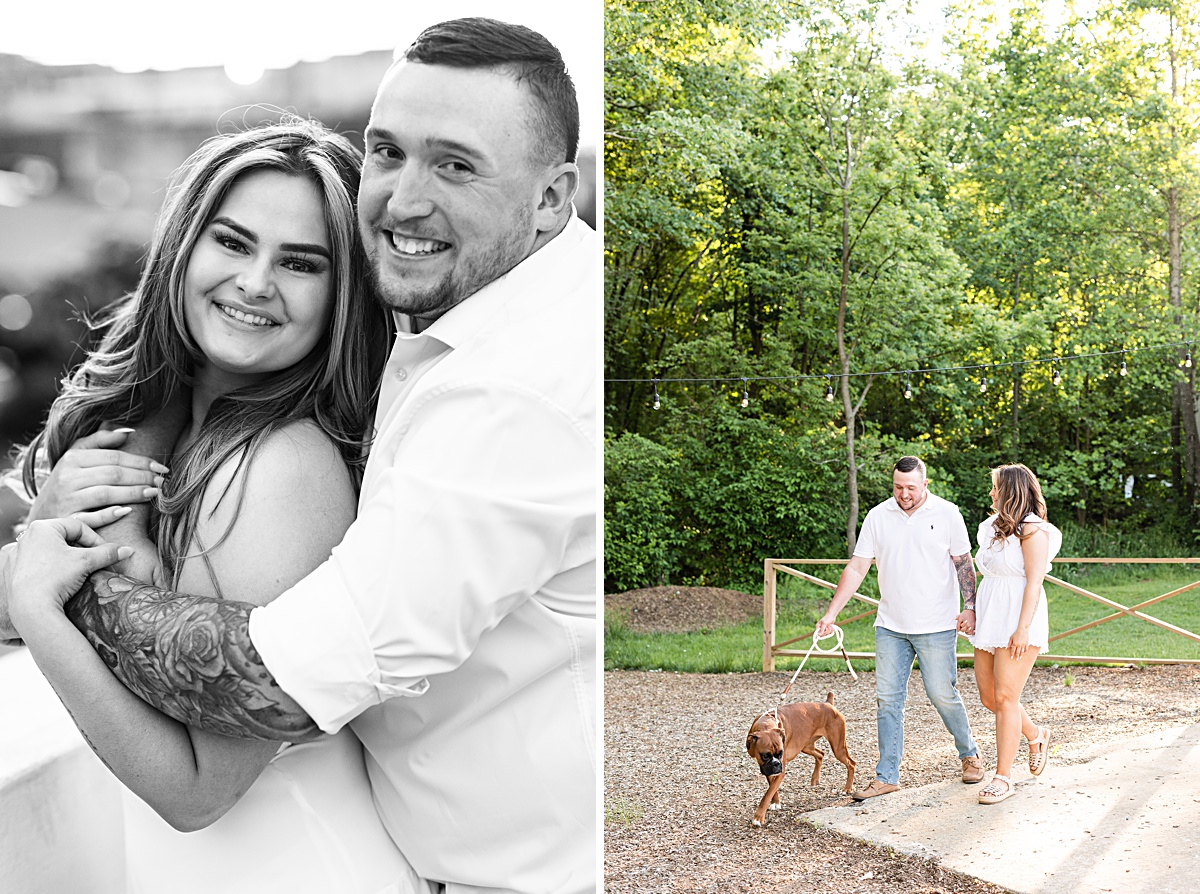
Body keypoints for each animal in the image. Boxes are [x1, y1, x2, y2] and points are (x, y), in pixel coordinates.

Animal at [744, 696, 859, 825]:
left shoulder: (780, 772)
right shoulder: (767, 769)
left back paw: (847, 788)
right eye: (765, 755)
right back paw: (815, 780)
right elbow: (771, 788)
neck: (766, 724)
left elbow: (767, 794)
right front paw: (776, 802)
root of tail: (828, 703)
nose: (776, 763)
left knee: (851, 763)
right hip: (806, 746)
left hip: (838, 748)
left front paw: (758, 817)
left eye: (781, 753)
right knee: (821, 754)